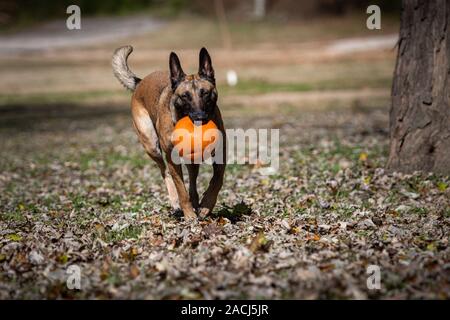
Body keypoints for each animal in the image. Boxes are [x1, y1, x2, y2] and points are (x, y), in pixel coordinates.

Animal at [111, 46, 227, 220]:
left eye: (205, 93)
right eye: (185, 96)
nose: (199, 118)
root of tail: (140, 82)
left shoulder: (221, 154)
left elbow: (217, 180)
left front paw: (206, 205)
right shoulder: (172, 159)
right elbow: (181, 189)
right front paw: (189, 215)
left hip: (190, 160)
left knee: (192, 181)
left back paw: (196, 202)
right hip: (152, 146)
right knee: (164, 172)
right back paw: (176, 202)